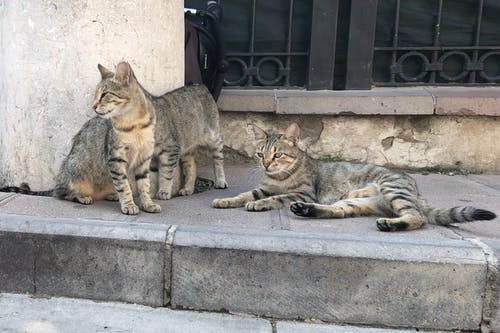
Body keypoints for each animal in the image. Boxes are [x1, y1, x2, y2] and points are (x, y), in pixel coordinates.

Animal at [214, 122, 496, 231]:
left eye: (278, 155)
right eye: (261, 154)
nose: (266, 165)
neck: (278, 178)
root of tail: (417, 191)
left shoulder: (303, 191)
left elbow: (273, 199)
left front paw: (259, 204)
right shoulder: (265, 186)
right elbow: (245, 194)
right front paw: (226, 200)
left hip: (392, 189)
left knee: (418, 218)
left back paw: (393, 224)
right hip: (353, 203)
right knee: (338, 211)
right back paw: (308, 210)